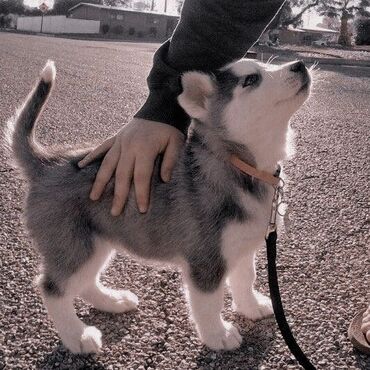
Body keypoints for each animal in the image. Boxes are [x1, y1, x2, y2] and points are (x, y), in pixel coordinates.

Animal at [5, 57, 310, 352]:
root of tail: (47, 162)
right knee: (52, 289)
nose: (300, 65)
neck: (240, 165)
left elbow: (246, 278)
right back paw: (77, 337)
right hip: (74, 245)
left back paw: (112, 301)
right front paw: (218, 335)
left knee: (84, 282)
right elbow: (209, 301)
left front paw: (251, 306)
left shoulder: (242, 245)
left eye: (270, 65)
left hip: (95, 243)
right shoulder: (205, 256)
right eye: (251, 79)